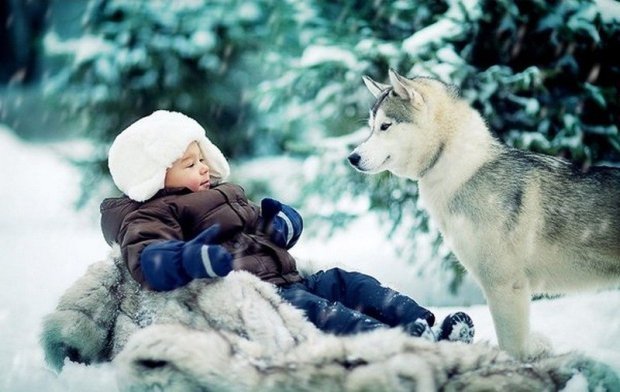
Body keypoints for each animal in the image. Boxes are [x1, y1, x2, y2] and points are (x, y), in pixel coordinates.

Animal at [348, 69, 620, 358]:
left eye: (385, 126)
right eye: (371, 126)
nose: (352, 157)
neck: (454, 165)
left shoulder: (504, 286)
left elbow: (512, 348)